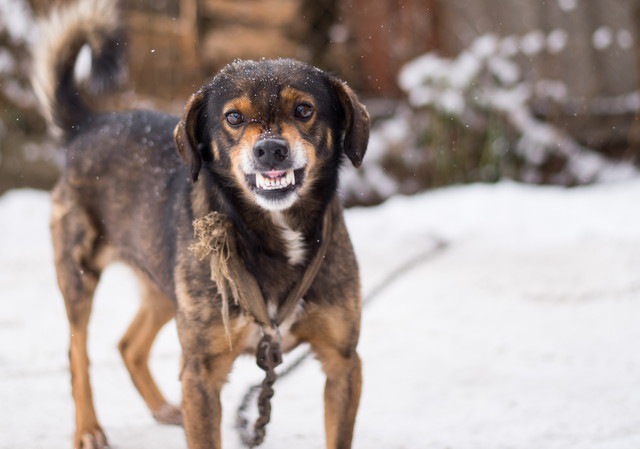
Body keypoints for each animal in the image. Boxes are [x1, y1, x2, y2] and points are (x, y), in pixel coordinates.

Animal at [31, 0, 370, 448]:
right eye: (234, 118)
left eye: (304, 110)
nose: (270, 150)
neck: (271, 230)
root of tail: (89, 125)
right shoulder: (201, 372)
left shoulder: (342, 361)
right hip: (79, 275)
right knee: (77, 353)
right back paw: (88, 428)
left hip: (166, 286)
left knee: (128, 345)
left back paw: (162, 409)